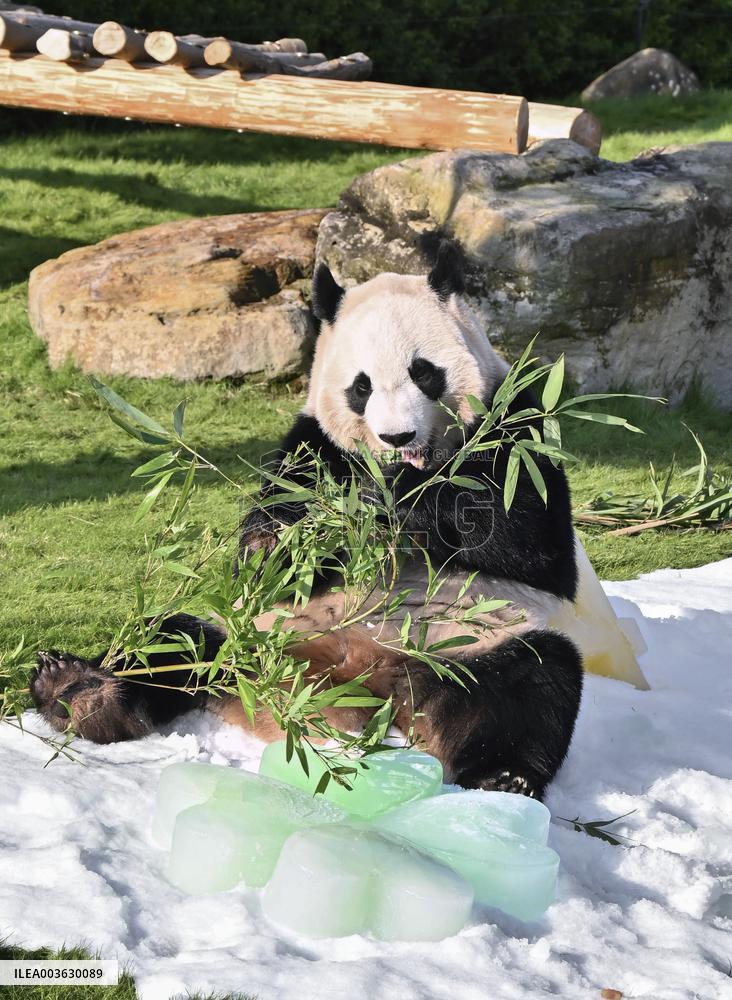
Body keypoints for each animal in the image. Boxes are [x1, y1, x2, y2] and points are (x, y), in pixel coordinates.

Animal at [30, 241, 583, 801]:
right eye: (361, 387)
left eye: (423, 371)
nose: (397, 437)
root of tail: (351, 686)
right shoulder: (310, 446)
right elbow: (265, 552)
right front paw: (286, 543)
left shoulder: (517, 421)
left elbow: (523, 534)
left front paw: (388, 503)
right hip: (251, 637)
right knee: (171, 642)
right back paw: (80, 695)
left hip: (467, 641)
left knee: (530, 683)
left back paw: (504, 778)